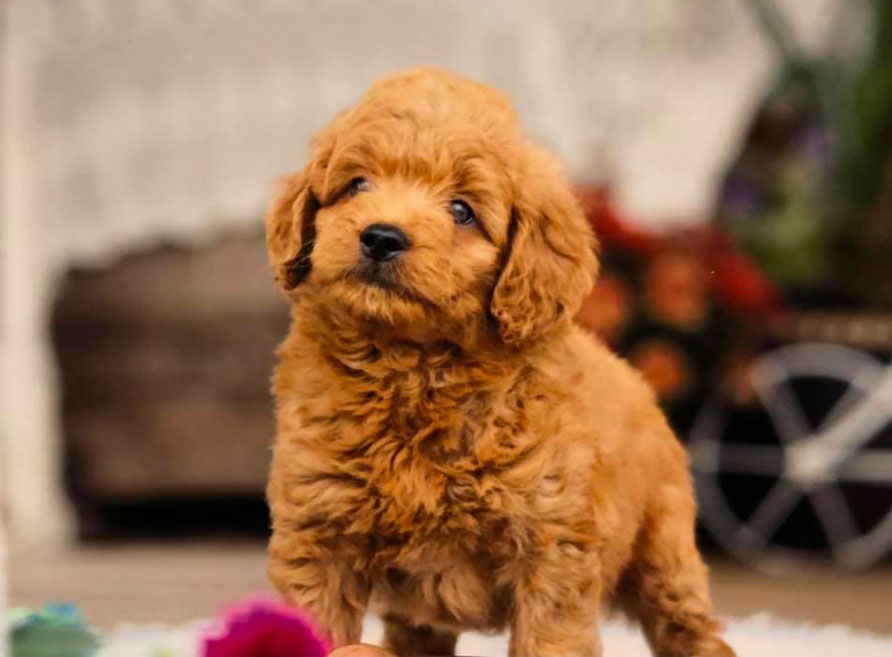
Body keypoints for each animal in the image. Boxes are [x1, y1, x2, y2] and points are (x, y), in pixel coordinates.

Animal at [264, 68, 732, 656]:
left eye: (461, 210)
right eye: (357, 185)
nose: (381, 236)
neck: (412, 365)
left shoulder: (551, 548)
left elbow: (549, 640)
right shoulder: (318, 531)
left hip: (664, 548)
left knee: (689, 625)